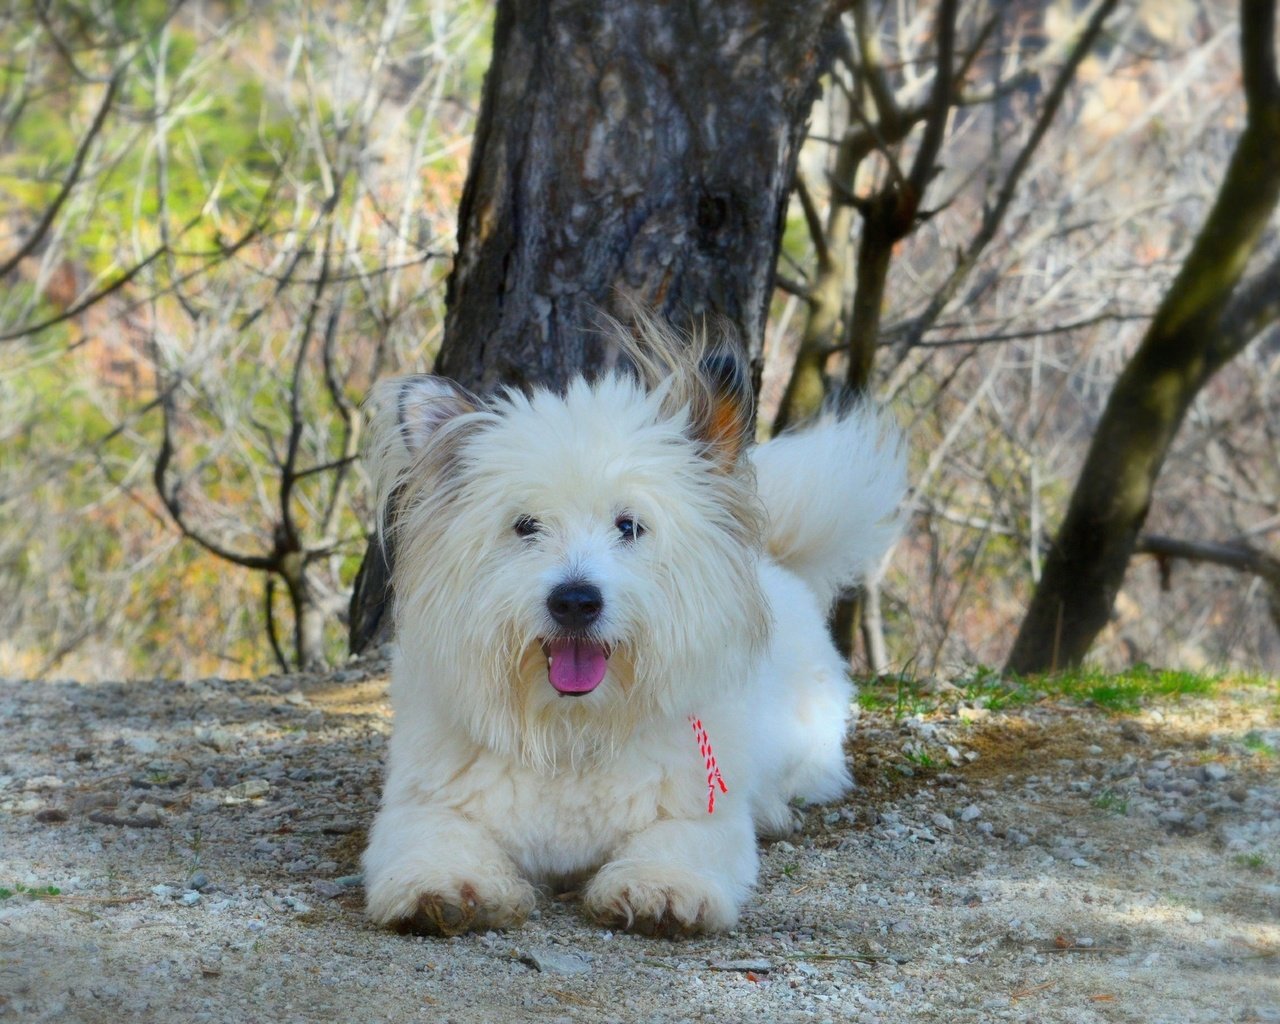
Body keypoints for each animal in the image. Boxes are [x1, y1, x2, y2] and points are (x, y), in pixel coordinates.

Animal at [358, 322, 901, 936]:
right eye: (525, 526)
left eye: (629, 526)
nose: (575, 601)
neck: (572, 729)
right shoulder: (425, 806)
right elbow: (438, 841)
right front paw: (447, 888)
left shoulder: (698, 815)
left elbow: (676, 845)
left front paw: (658, 890)